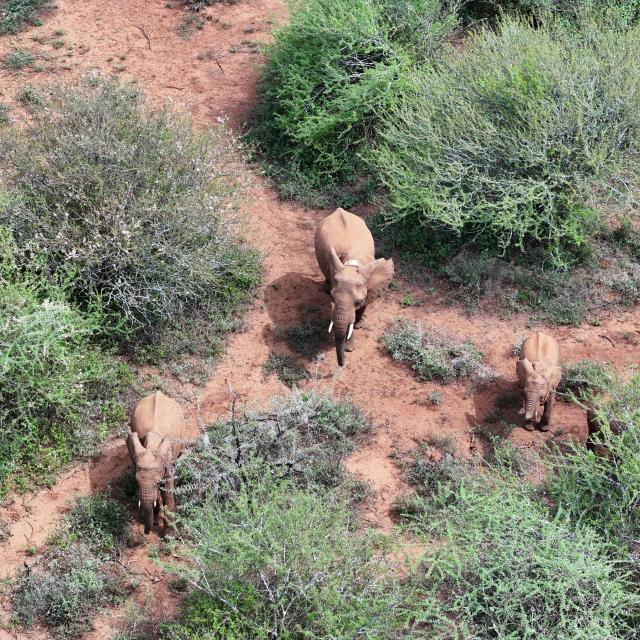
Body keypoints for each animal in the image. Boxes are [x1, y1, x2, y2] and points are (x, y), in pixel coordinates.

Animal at [126, 390, 185, 534]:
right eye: (136, 482)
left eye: (158, 482)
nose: (146, 531)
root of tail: (159, 393)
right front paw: (156, 521)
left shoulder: (167, 460)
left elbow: (167, 491)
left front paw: (169, 536)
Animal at [314, 208, 394, 366]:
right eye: (333, 298)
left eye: (358, 301)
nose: (342, 364)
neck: (352, 266)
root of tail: (339, 209)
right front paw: (349, 348)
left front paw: (358, 326)